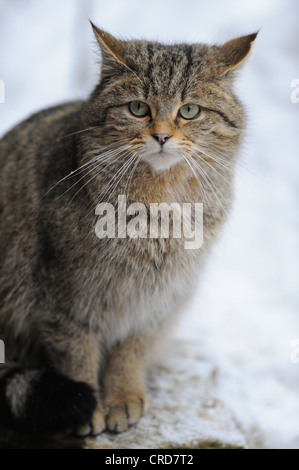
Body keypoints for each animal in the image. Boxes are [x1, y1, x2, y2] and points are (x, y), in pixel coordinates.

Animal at [0, 23, 258, 436]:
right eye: (138, 108)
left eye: (189, 111)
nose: (162, 136)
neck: (160, 208)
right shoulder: (65, 297)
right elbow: (75, 354)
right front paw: (89, 406)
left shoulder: (157, 302)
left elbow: (131, 352)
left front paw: (123, 395)